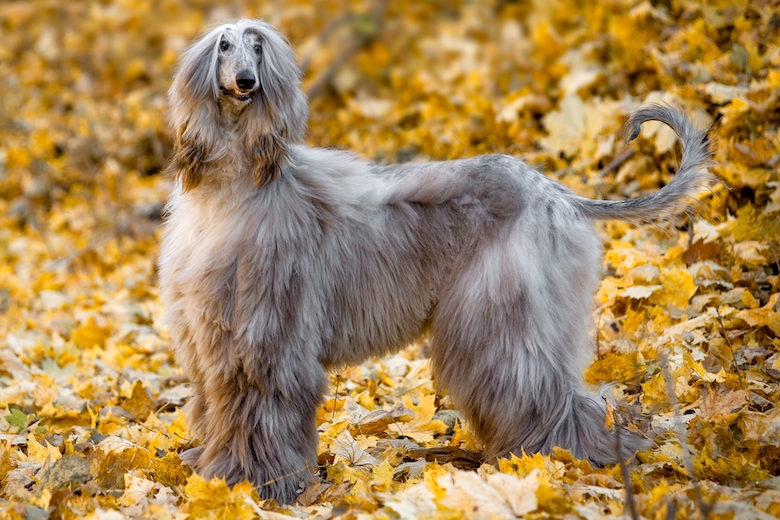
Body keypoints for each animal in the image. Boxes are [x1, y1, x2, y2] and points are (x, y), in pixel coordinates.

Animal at [158, 18, 712, 502]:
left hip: (499, 314)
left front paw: (254, 483)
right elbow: (216, 406)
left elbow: (259, 408)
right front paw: (210, 471)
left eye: (257, 48)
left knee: (544, 390)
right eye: (223, 47)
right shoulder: (210, 330)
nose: (246, 82)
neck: (236, 189)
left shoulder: (267, 334)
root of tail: (555, 191)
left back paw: (568, 460)